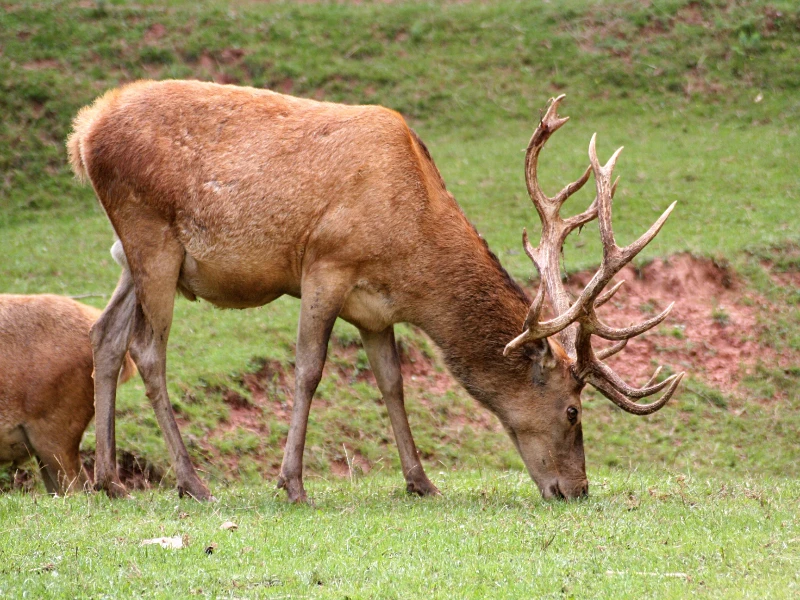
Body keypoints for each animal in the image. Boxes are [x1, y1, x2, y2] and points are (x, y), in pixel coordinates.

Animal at [67, 80, 683, 502]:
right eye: (574, 411)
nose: (577, 489)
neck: (412, 255)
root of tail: (83, 132)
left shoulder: (375, 309)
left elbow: (392, 382)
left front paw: (421, 481)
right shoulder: (325, 263)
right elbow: (308, 369)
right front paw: (292, 484)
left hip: (133, 257)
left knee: (104, 335)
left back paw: (108, 481)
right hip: (152, 236)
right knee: (148, 350)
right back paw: (192, 482)